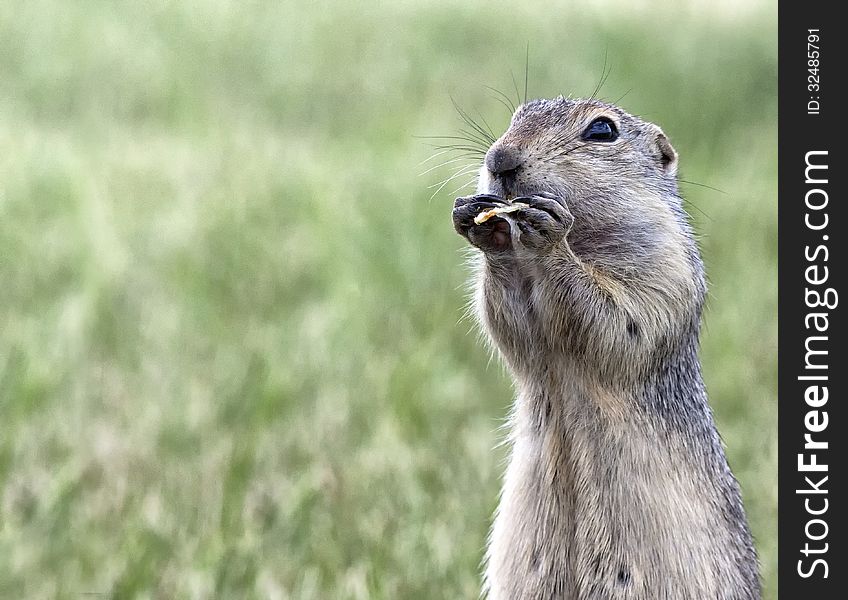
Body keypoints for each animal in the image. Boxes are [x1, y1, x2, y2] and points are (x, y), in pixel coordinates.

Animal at [450, 97, 760, 600]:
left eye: (601, 130)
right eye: (518, 114)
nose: (500, 158)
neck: (584, 239)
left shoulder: (665, 265)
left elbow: (622, 318)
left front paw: (546, 237)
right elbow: (512, 327)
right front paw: (486, 227)